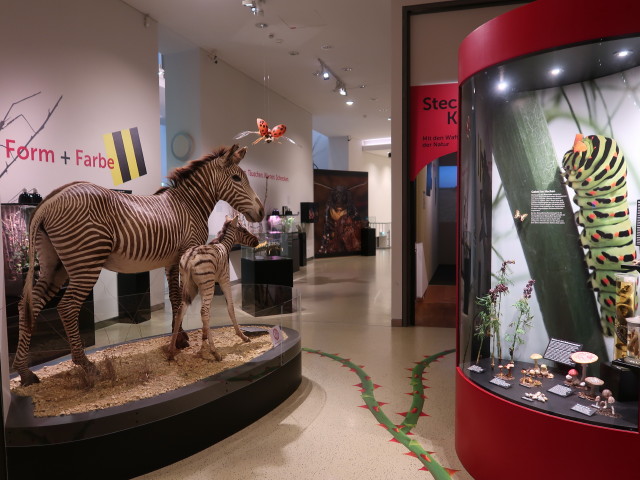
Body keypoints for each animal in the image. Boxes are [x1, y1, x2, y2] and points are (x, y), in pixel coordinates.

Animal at [169, 216, 262, 362]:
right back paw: (215, 352)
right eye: (244, 230)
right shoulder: (224, 279)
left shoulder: (205, 286)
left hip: (190, 285)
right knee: (203, 311)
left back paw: (172, 351)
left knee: (181, 310)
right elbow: (230, 307)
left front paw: (204, 336)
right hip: (207, 284)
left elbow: (210, 311)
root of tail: (189, 258)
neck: (224, 245)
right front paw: (242, 336)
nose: (257, 241)